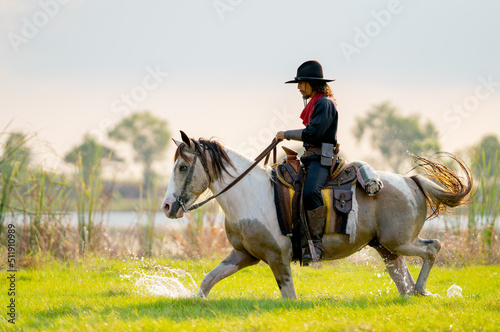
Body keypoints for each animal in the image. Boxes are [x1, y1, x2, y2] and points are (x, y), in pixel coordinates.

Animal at [162, 132, 470, 298]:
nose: (166, 207)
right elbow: (207, 281)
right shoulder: (243, 255)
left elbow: (289, 296)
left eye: (182, 167)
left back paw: (422, 290)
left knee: (432, 248)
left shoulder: (277, 257)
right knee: (403, 279)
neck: (249, 195)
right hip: (387, 248)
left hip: (399, 241)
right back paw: (416, 291)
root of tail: (412, 182)